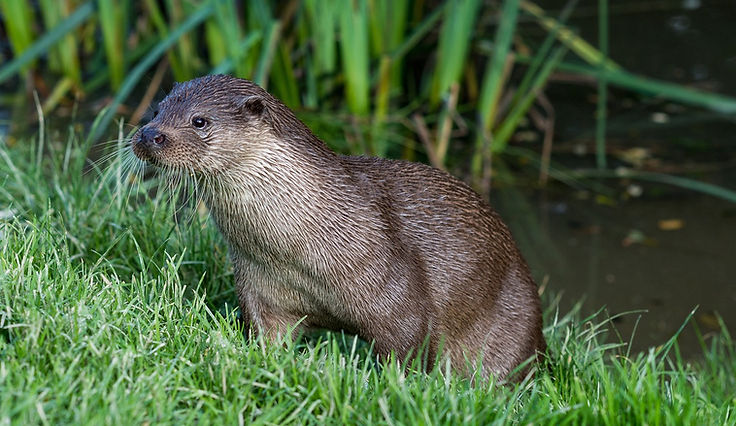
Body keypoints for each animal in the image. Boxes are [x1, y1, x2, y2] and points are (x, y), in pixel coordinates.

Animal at [132, 74, 545, 381]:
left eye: (199, 120)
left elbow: (409, 346)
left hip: (514, 328)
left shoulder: (393, 286)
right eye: (156, 110)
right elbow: (266, 333)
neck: (295, 249)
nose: (150, 134)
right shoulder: (260, 287)